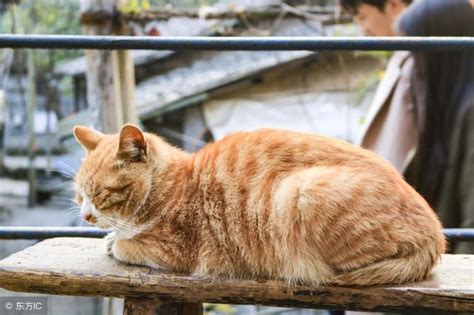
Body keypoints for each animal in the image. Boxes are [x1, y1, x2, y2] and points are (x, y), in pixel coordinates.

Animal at [73, 125, 444, 286]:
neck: (173, 185)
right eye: (79, 195)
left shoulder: (175, 250)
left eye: (100, 193)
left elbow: (130, 245)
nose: (87, 215)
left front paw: (116, 243)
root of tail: (436, 237)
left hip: (299, 192)